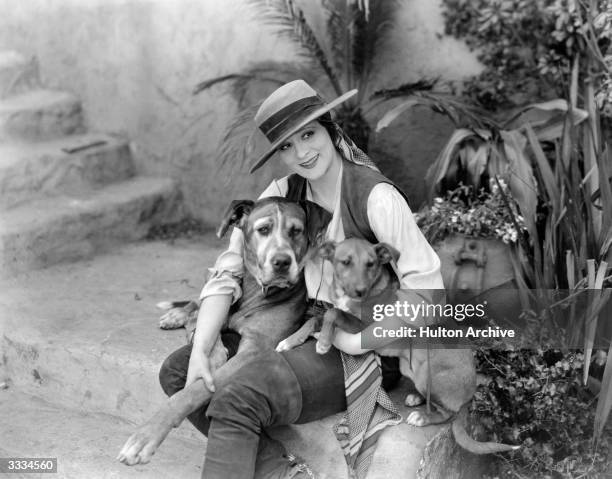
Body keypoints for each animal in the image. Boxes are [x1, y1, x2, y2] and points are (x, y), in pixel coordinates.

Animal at [116, 196, 328, 464]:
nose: (282, 262)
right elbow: (207, 326)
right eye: (263, 229)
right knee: (201, 299)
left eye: (296, 231)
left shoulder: (253, 351)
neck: (256, 290)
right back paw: (177, 315)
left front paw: (146, 437)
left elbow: (191, 392)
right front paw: (210, 348)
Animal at [310, 238, 516, 456]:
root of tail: (470, 394)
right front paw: (303, 335)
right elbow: (321, 315)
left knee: (448, 414)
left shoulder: (367, 328)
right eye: (346, 262)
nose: (360, 291)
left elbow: (333, 314)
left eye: (371, 264)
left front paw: (323, 342)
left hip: (427, 373)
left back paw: (422, 417)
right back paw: (416, 398)